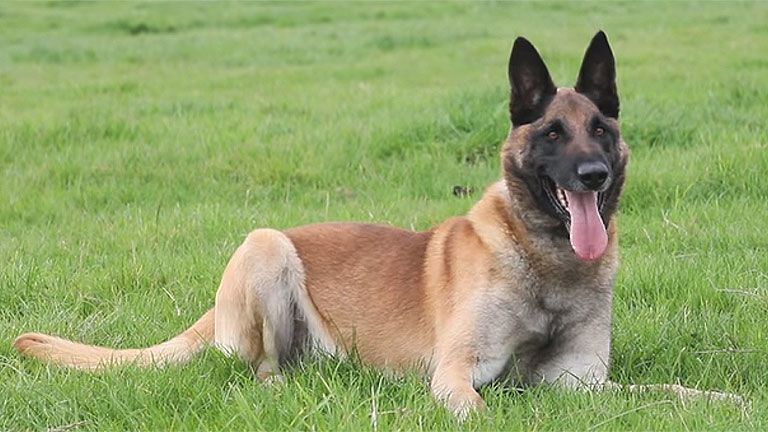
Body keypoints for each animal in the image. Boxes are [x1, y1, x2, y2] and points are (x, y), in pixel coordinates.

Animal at [14, 31, 741, 418]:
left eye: (601, 130)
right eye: (554, 133)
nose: (591, 175)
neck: (544, 262)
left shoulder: (582, 383)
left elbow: (671, 391)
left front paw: (725, 401)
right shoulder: (456, 375)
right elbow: (485, 412)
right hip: (266, 247)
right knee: (261, 371)